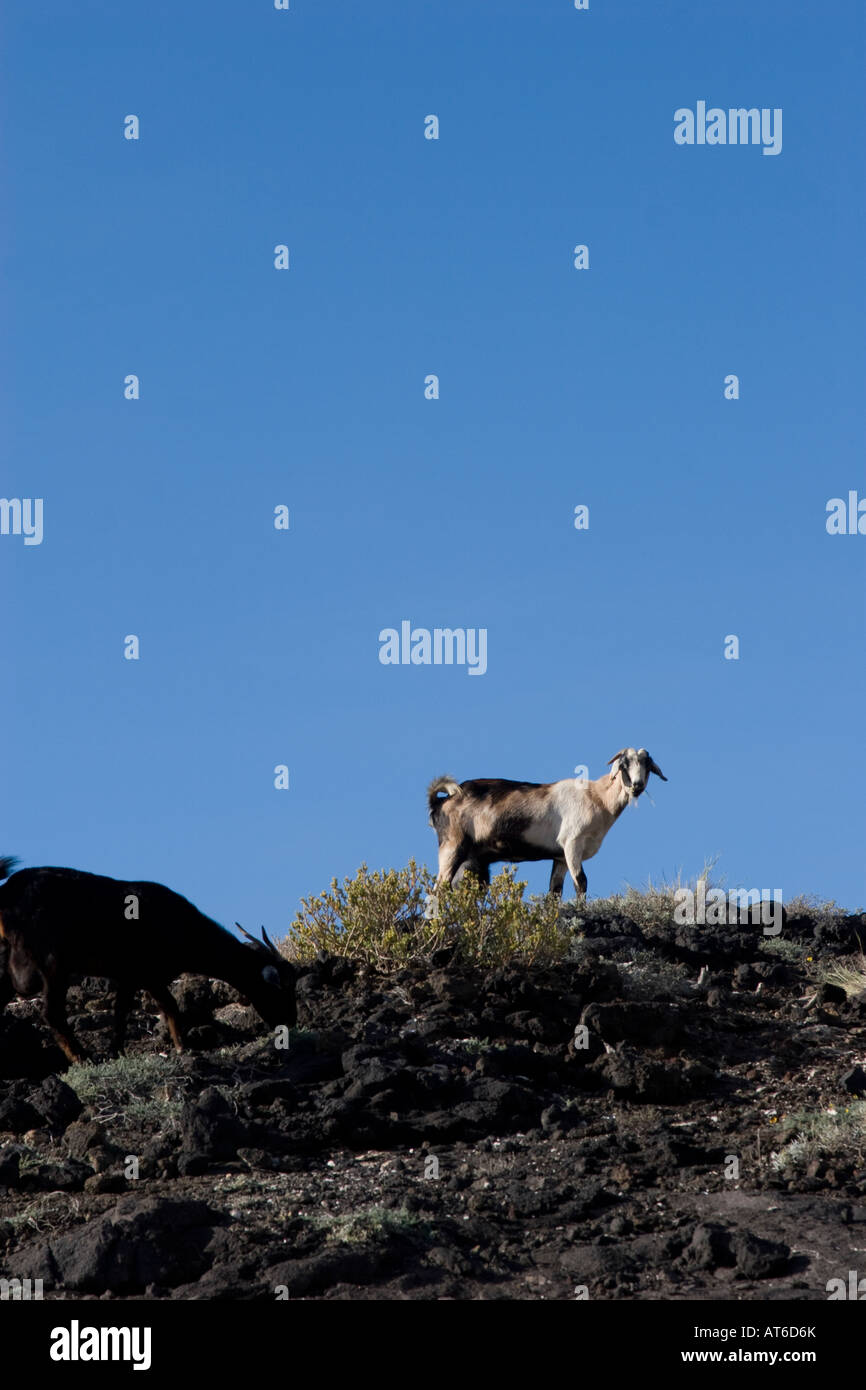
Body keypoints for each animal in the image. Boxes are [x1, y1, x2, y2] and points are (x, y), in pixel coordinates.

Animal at [0, 856, 297, 1061]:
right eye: (281, 989)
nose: (291, 1023)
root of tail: (10, 892)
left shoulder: (129, 977)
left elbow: (122, 1012)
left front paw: (117, 1050)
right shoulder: (147, 974)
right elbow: (170, 1006)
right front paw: (183, 1046)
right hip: (53, 964)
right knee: (52, 1012)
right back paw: (81, 1058)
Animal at [430, 750, 667, 900]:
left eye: (647, 766)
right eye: (624, 765)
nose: (637, 786)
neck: (597, 796)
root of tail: (440, 802)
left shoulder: (560, 856)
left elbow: (555, 892)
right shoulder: (572, 843)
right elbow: (581, 882)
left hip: (471, 860)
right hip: (452, 846)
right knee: (439, 888)